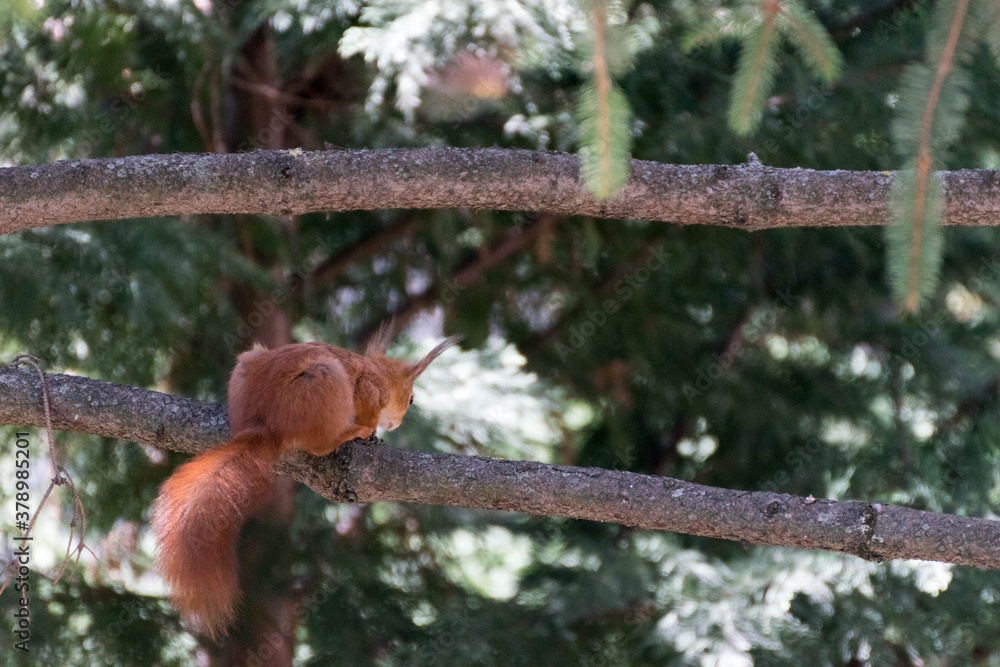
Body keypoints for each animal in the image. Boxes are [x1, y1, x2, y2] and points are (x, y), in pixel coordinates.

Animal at [151, 326, 461, 639]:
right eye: (411, 400)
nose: (395, 425)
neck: (378, 370)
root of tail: (265, 425)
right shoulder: (369, 389)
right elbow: (368, 409)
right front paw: (371, 431)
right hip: (325, 380)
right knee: (320, 445)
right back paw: (349, 433)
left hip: (248, 365)